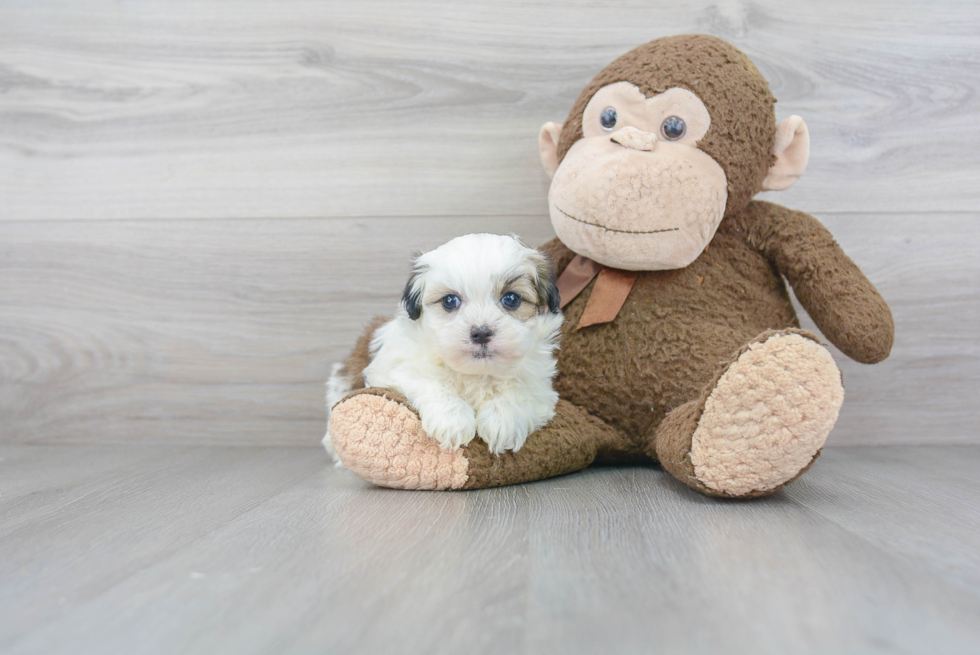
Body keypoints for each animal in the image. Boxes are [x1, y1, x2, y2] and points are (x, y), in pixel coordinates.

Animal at [326, 233, 564, 458]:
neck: (476, 374)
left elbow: (518, 391)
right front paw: (453, 420)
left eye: (511, 299)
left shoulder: (540, 386)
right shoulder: (399, 368)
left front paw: (503, 420)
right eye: (450, 301)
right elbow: (431, 383)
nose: (481, 333)